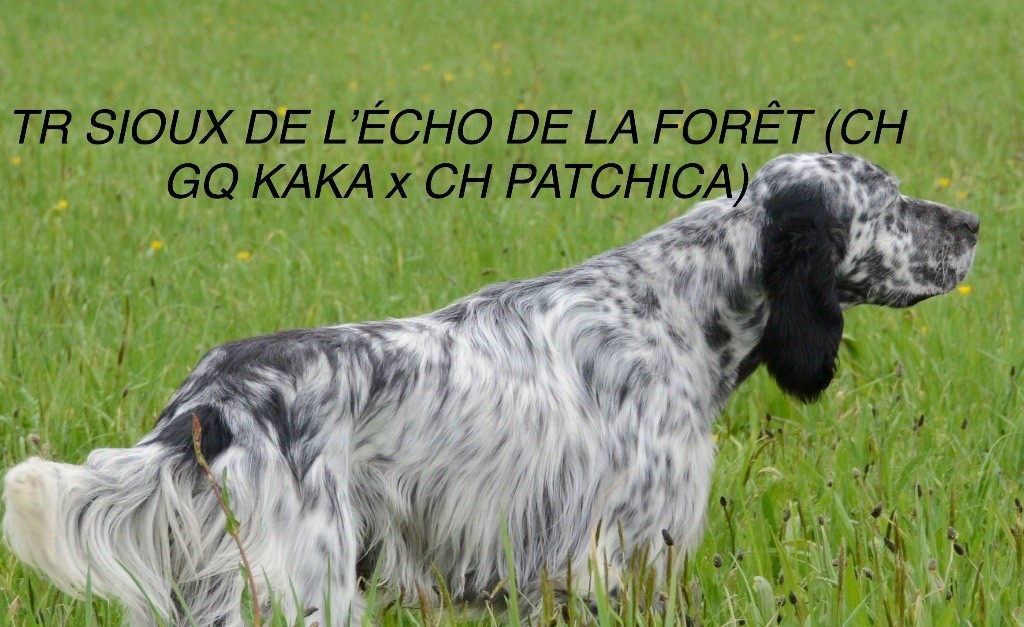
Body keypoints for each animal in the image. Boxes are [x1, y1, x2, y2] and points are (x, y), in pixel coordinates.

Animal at [3, 153, 978, 625]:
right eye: (891, 200)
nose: (972, 222)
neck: (674, 309)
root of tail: (210, 405)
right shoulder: (617, 560)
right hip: (305, 590)